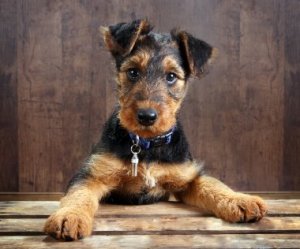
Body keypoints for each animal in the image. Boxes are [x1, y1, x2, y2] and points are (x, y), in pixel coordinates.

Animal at [43, 19, 266, 241]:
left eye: (171, 76)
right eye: (133, 71)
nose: (146, 116)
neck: (146, 144)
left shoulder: (188, 176)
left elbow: (213, 184)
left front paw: (240, 201)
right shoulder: (92, 174)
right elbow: (78, 195)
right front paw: (69, 217)